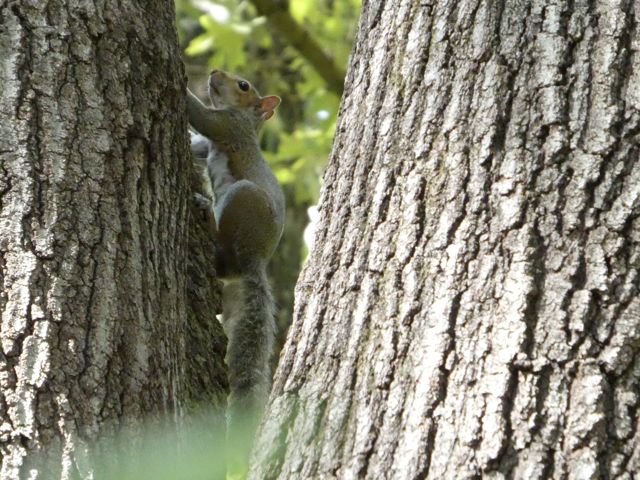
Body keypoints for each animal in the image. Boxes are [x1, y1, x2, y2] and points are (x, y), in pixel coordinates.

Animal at [186, 69, 285, 456]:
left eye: (244, 85)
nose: (213, 73)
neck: (245, 118)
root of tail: (255, 262)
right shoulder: (208, 143)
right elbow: (196, 142)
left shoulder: (227, 126)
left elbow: (200, 116)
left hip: (241, 199)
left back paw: (205, 212)